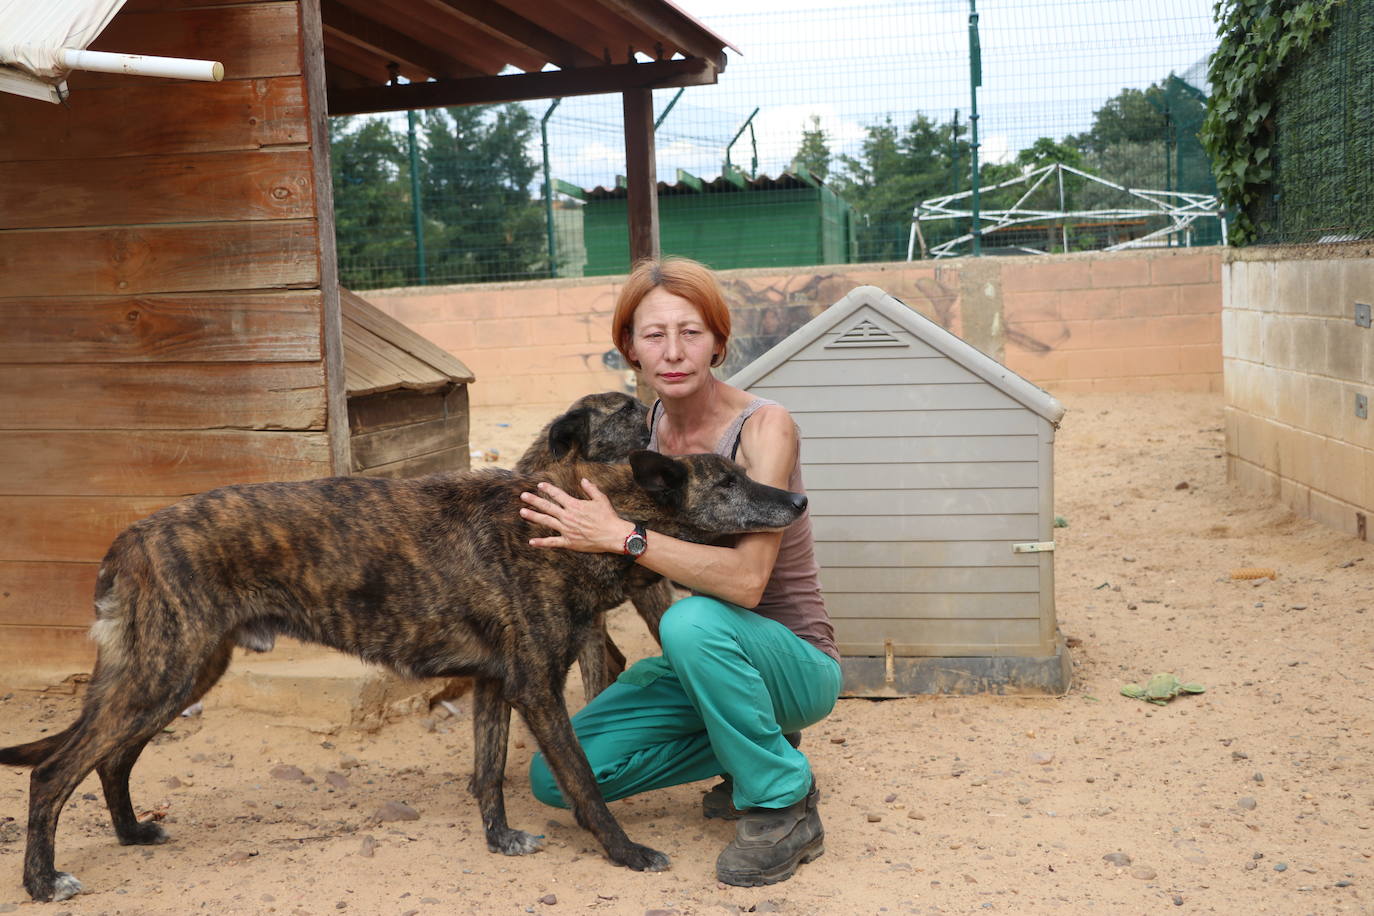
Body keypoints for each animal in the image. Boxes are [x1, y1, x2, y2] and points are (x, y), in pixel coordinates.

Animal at [0, 392, 802, 900]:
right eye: (727, 483)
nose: (796, 499)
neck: (572, 518)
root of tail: (133, 534)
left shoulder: (495, 684)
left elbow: (488, 775)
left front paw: (500, 844)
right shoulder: (536, 688)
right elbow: (582, 782)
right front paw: (626, 853)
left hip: (181, 675)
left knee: (111, 760)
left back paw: (133, 833)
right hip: (163, 674)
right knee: (54, 771)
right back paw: (42, 882)